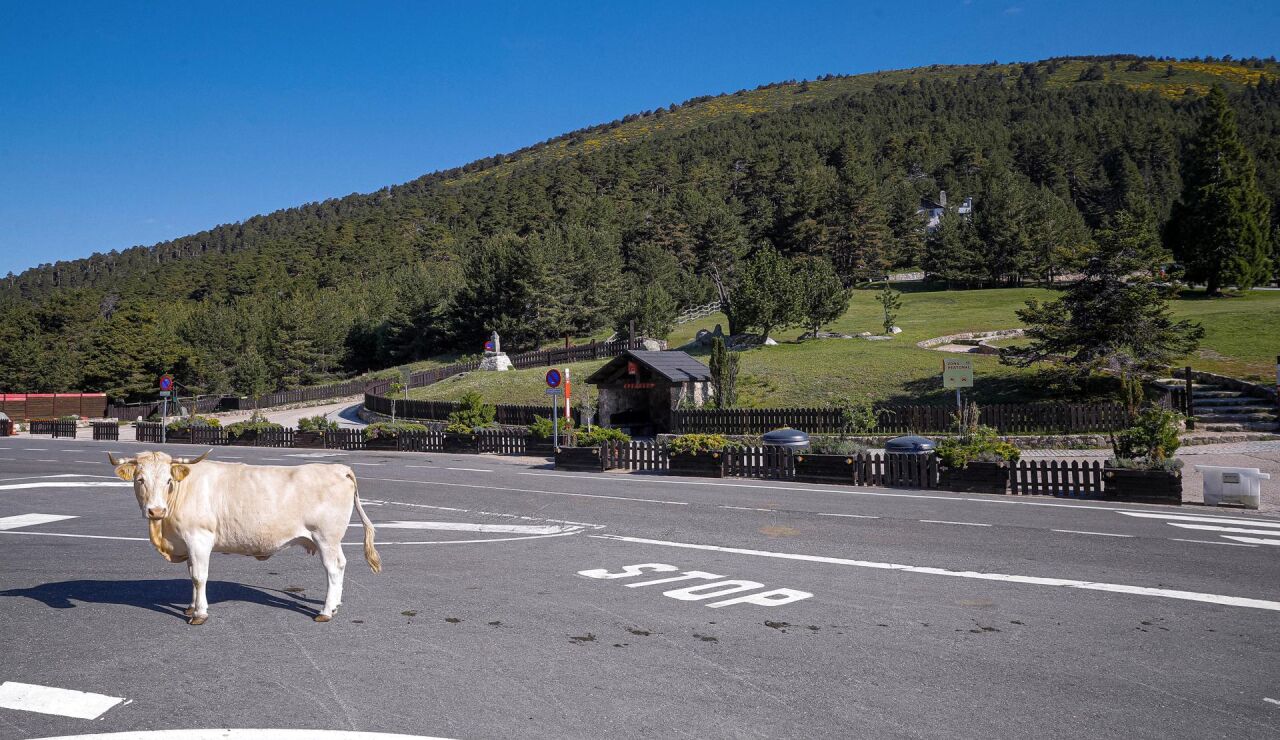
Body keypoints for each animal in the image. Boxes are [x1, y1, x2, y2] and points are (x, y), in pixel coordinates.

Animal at [108, 450, 381, 625]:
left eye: (168, 480)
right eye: (140, 479)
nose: (156, 510)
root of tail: (339, 468)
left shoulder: (199, 538)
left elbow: (199, 577)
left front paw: (200, 614)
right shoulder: (187, 543)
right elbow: (191, 575)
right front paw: (191, 607)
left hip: (325, 536)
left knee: (333, 569)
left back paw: (325, 611)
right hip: (332, 540)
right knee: (342, 564)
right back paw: (335, 605)